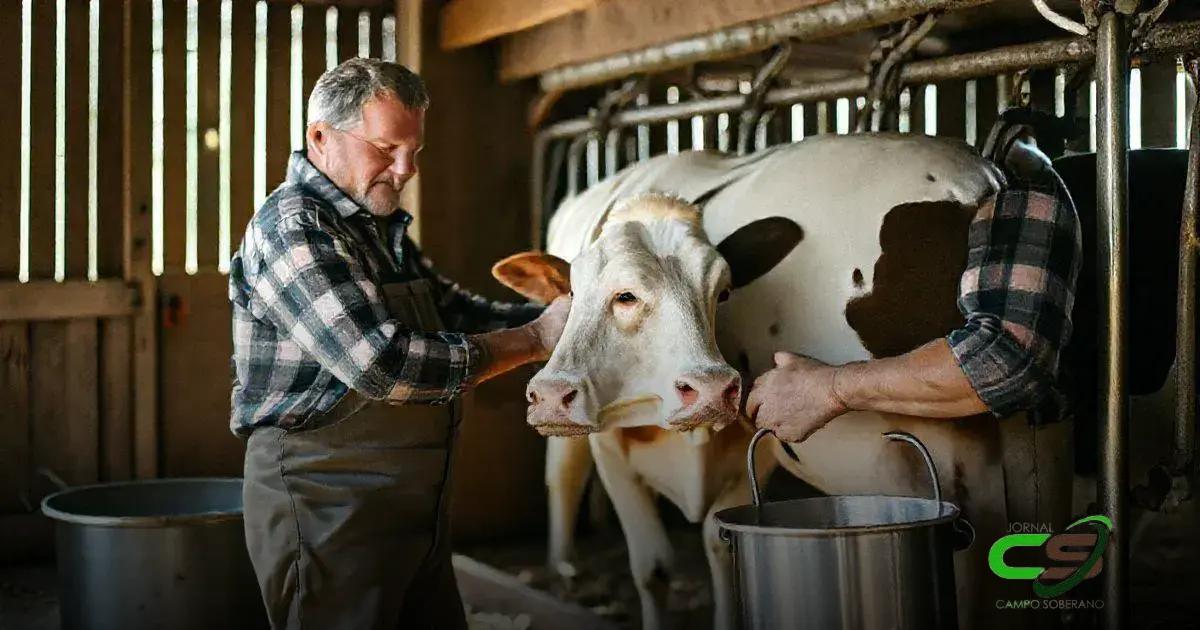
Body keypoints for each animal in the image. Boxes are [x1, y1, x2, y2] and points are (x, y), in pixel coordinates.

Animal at [491, 133, 1078, 630]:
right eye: (578, 292)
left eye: (724, 289)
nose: (708, 386)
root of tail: (987, 175)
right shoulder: (612, 444)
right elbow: (653, 567)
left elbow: (718, 546)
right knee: (562, 476)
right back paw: (563, 569)